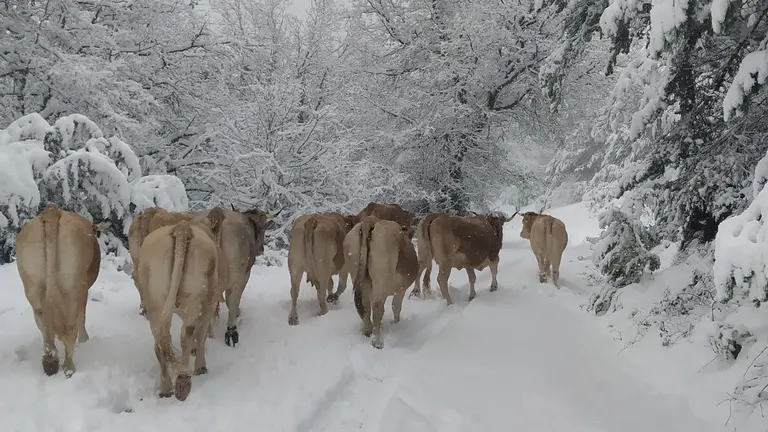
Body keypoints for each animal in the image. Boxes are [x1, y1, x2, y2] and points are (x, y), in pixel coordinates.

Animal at [15, 203, 101, 378]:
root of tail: (51, 210)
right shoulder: (84, 291)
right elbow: (81, 316)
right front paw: (85, 340)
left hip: (32, 286)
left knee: (43, 322)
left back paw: (50, 360)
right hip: (73, 286)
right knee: (70, 326)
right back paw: (69, 368)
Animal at [137, 218, 221, 401]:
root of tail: (182, 227)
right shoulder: (210, 305)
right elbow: (201, 336)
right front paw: (201, 367)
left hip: (155, 303)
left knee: (161, 341)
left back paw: (166, 388)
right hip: (195, 298)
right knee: (186, 334)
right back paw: (183, 380)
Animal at [215, 206, 269, 347]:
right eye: (264, 226)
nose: (261, 249)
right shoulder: (245, 274)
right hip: (236, 274)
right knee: (231, 299)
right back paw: (231, 332)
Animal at [343, 216, 418, 349]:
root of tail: (370, 220)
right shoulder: (401, 290)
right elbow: (396, 307)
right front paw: (396, 324)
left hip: (358, 276)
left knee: (364, 306)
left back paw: (367, 331)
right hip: (381, 278)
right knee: (378, 309)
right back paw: (377, 342)